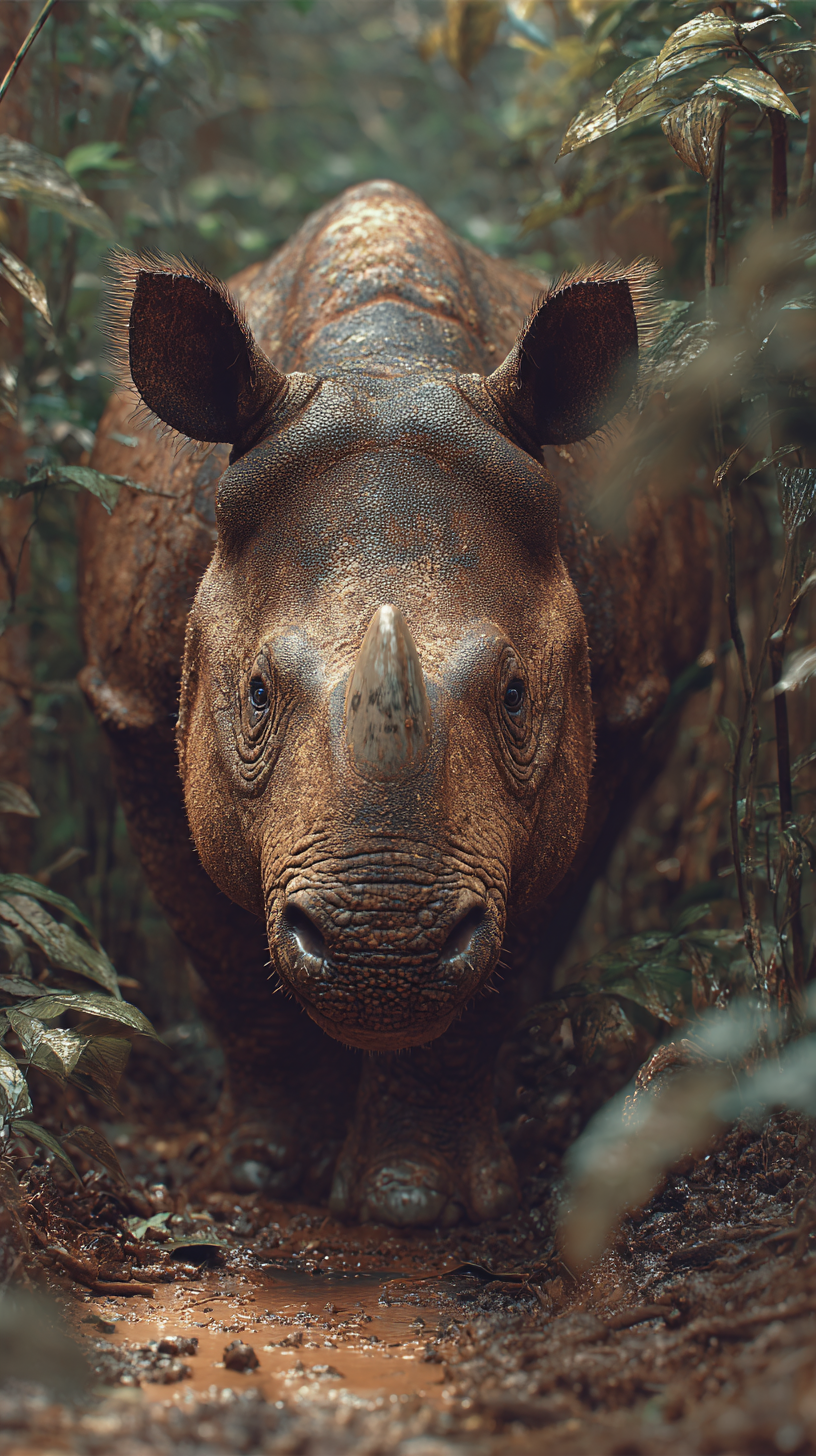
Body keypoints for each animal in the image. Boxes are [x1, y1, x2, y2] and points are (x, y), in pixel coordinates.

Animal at [79, 181, 709, 1227]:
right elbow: (226, 964)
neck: (383, 363)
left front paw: (417, 1202)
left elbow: (509, 961)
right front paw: (258, 1174)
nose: (383, 944)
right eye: (253, 695)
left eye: (516, 697)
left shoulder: (615, 713)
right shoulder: (127, 704)